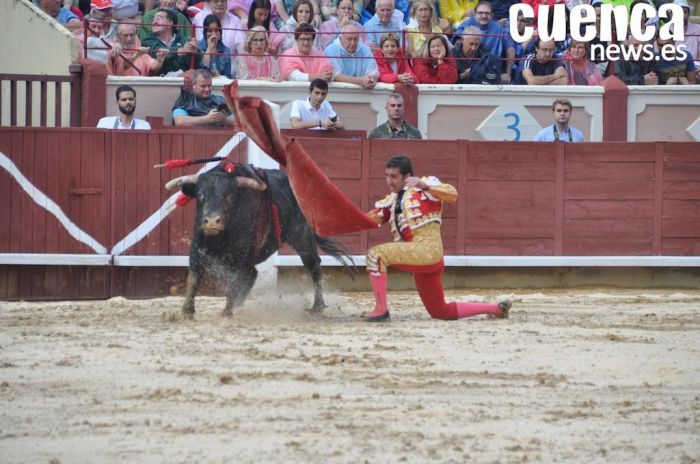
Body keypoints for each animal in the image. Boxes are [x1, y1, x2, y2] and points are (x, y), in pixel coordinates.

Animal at [170, 164, 356, 320]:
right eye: (200, 196)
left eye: (230, 196)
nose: (212, 222)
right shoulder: (197, 249)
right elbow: (193, 278)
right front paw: (187, 311)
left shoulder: (238, 256)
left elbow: (232, 282)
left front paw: (227, 312)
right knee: (252, 275)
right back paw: (239, 305)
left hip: (303, 239)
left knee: (314, 267)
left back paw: (317, 307)